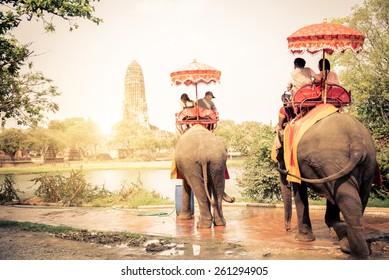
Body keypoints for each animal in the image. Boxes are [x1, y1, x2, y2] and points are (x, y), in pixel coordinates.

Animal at [278, 110, 378, 260]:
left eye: (278, 152)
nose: (288, 229)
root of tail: (357, 141)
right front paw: (335, 229)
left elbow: (299, 189)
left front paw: (302, 239)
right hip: (365, 163)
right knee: (356, 197)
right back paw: (349, 247)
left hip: (331, 160)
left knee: (345, 197)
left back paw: (355, 255)